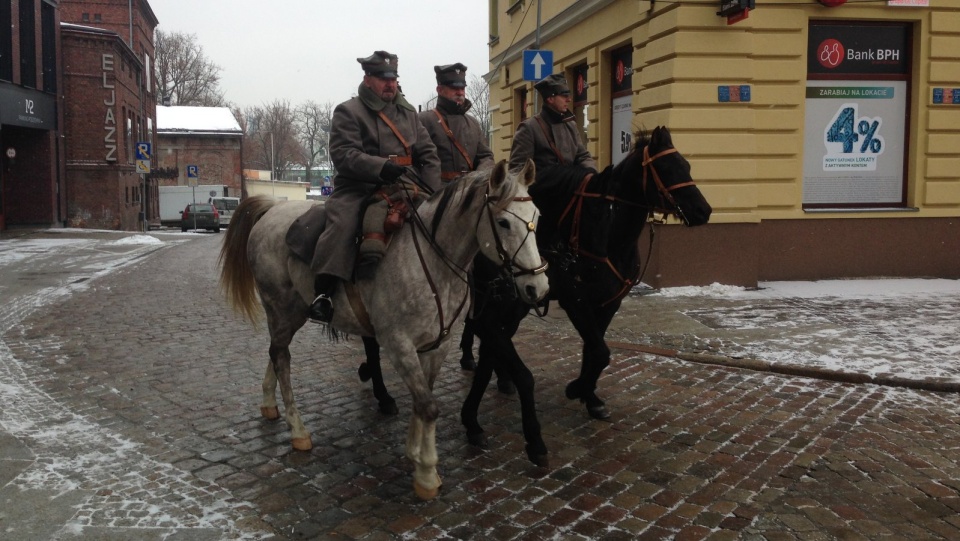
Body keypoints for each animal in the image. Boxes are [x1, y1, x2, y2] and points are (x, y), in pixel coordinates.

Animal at [218, 160, 548, 498]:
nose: (538, 286)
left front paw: (414, 453)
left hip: (291, 313)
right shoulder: (398, 344)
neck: (432, 262)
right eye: (504, 222)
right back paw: (298, 428)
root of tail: (273, 208)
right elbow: (428, 406)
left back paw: (269, 403)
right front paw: (426, 473)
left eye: (537, 217)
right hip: (281, 307)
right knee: (281, 357)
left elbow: (423, 399)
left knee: (276, 351)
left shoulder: (437, 344)